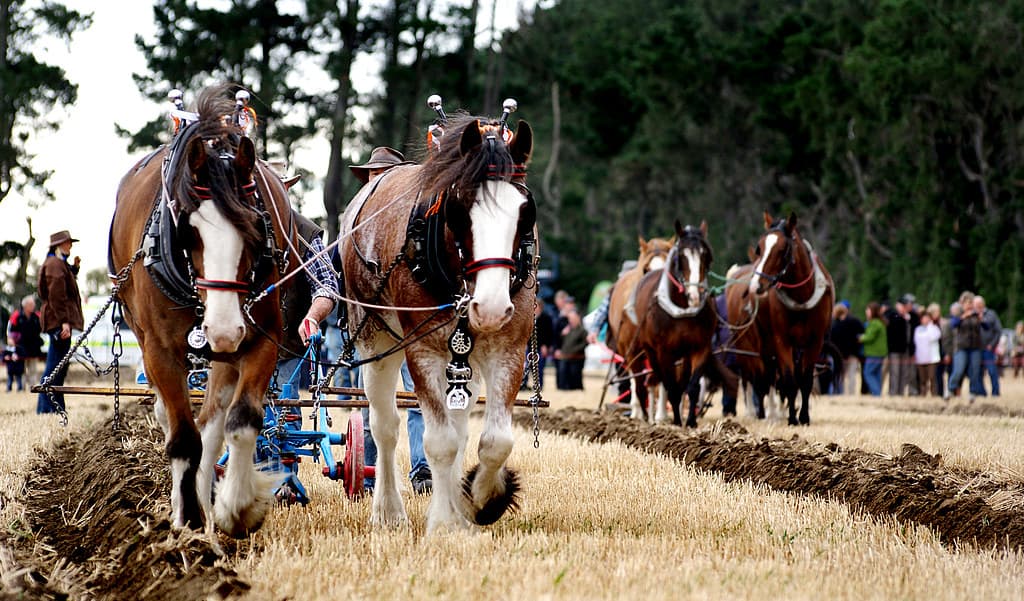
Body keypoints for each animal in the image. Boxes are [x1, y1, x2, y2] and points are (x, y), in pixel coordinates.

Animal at [109, 84, 296, 536]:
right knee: (175, 419)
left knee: (212, 420)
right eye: (187, 230)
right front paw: (189, 520)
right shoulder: (160, 350)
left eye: (255, 227)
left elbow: (241, 421)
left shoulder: (261, 339)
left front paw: (237, 508)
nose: (223, 330)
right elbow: (182, 436)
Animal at [338, 113, 535, 532]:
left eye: (525, 212)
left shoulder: (508, 349)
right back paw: (388, 511)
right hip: (376, 341)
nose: (491, 307)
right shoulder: (422, 349)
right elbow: (439, 442)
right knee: (384, 426)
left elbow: (495, 441)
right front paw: (444, 523)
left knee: (459, 427)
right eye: (460, 209)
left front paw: (481, 499)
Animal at [606, 236, 674, 421]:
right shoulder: (631, 350)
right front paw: (641, 414)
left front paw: (661, 416)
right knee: (634, 379)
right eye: (646, 269)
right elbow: (637, 383)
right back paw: (637, 411)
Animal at [630, 220, 737, 427]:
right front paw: (677, 422)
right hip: (650, 352)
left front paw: (691, 422)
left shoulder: (700, 348)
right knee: (655, 382)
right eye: (681, 256)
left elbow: (692, 386)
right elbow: (671, 387)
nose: (695, 295)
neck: (682, 312)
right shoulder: (664, 352)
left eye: (706, 255)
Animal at [739, 211, 836, 425]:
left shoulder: (815, 341)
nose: (756, 285)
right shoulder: (781, 340)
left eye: (782, 249)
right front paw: (792, 418)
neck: (801, 299)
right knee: (765, 377)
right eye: (760, 247)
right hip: (762, 343)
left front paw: (804, 417)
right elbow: (789, 379)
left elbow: (805, 379)